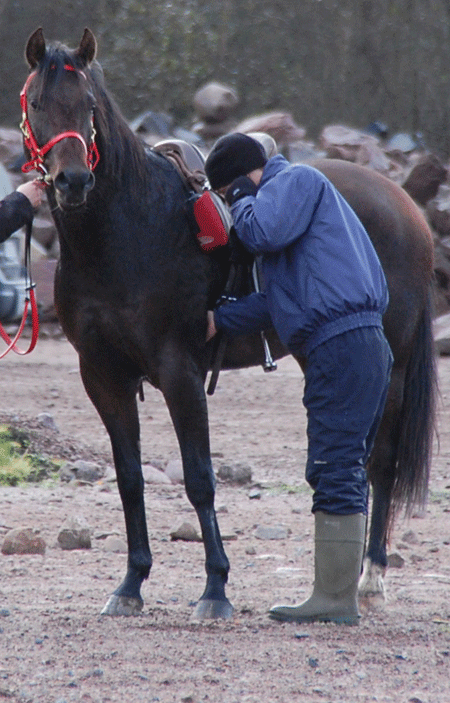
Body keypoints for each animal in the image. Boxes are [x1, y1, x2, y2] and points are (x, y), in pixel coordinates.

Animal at [22, 28, 436, 616]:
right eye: (37, 103)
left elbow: (200, 479)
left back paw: (371, 576)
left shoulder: (180, 373)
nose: (73, 181)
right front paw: (131, 583)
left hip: (393, 368)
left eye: (90, 105)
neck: (127, 230)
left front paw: (215, 587)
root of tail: (405, 205)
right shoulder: (104, 378)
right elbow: (129, 480)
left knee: (379, 463)